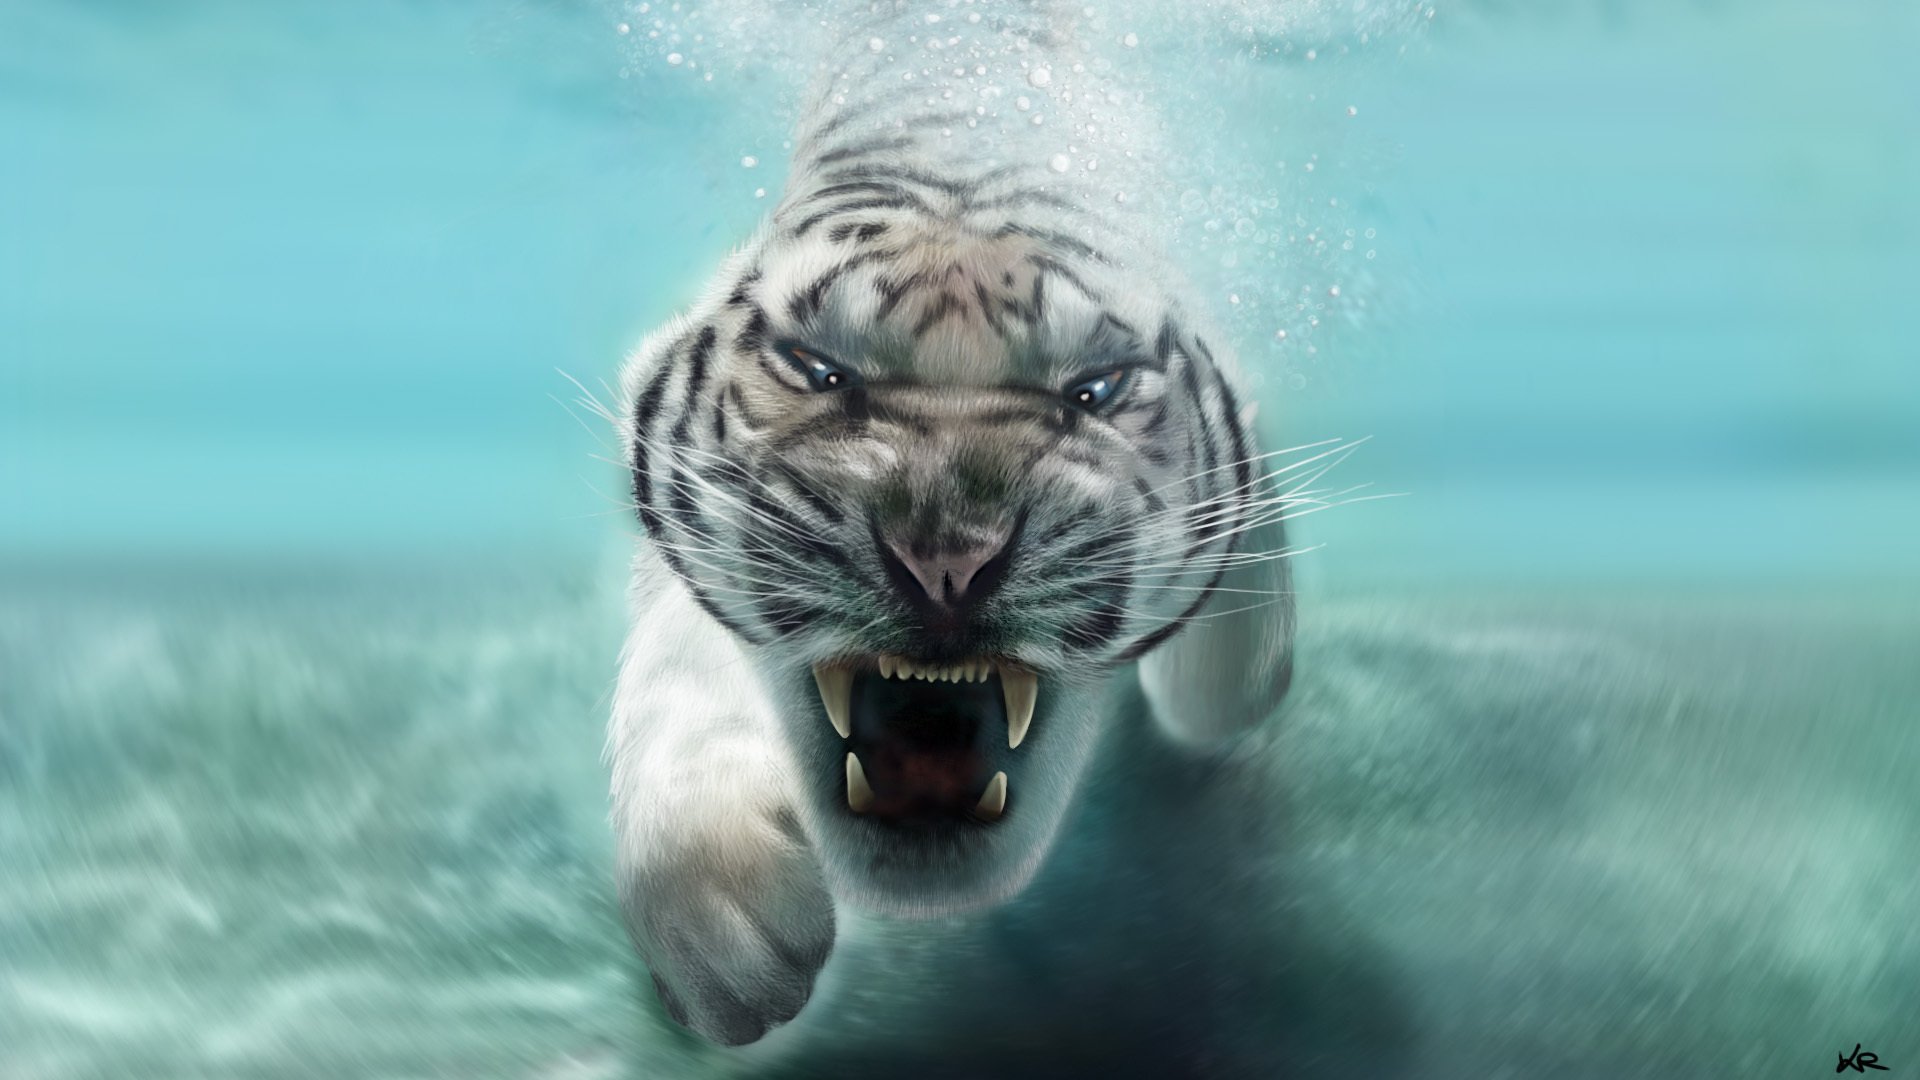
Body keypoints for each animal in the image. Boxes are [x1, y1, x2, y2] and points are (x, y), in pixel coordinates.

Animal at [606, 0, 1299, 1045]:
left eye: (1095, 389)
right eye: (818, 369)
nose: (945, 559)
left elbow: (1237, 672)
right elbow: (684, 650)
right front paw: (715, 901)